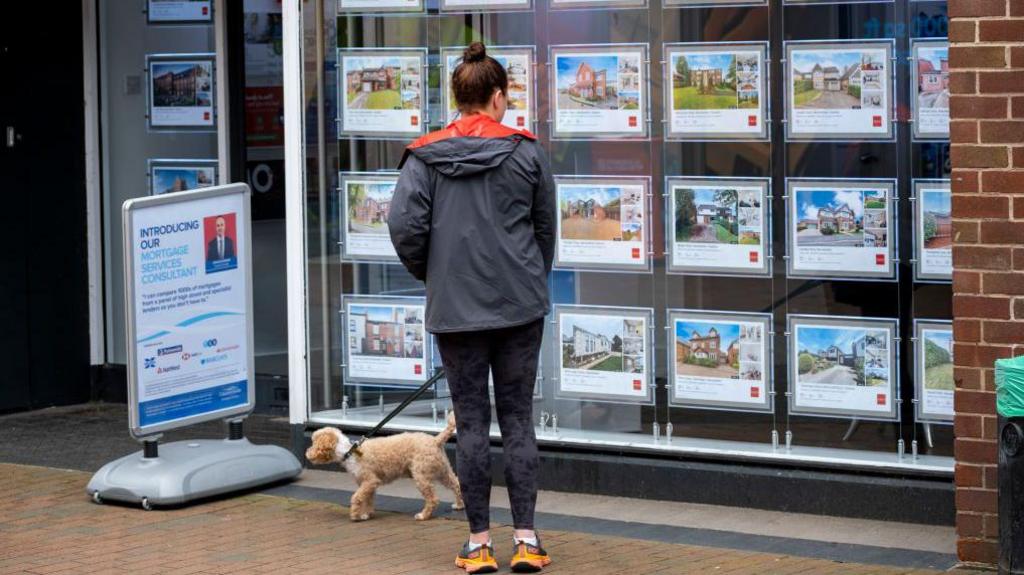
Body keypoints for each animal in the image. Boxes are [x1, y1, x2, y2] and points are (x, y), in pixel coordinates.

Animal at [303, 413, 464, 521]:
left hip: (421, 475)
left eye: (313, 442)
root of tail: (436, 440)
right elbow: (367, 499)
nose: (307, 453)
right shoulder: (369, 484)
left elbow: (356, 497)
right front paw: (366, 514)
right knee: (456, 484)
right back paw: (459, 505)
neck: (348, 452)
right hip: (442, 470)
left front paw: (355, 515)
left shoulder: (369, 481)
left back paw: (423, 515)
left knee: (433, 499)